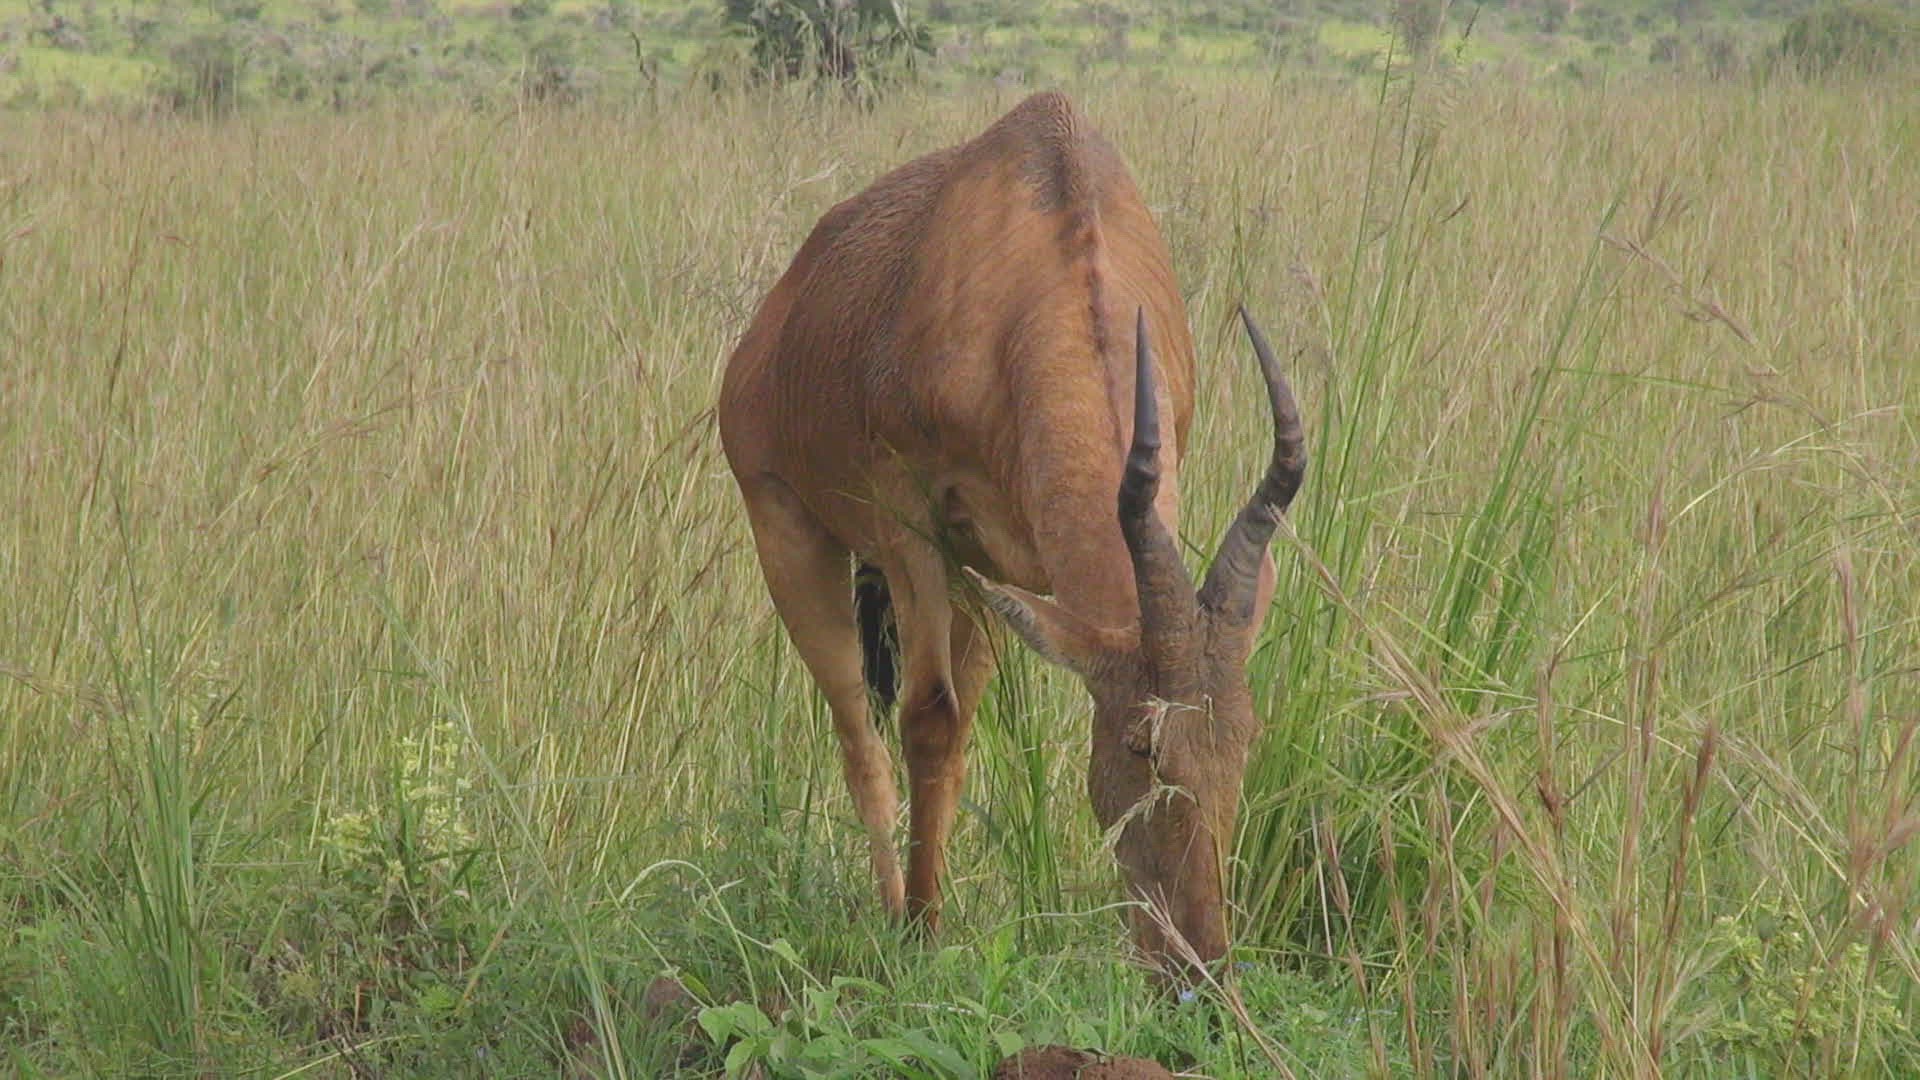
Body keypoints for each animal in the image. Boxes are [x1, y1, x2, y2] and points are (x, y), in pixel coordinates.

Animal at [718, 92, 1305, 969]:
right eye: (1141, 744)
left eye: (1245, 736)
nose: (1197, 964)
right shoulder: (911, 521)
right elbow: (928, 717)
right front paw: (920, 935)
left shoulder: (1014, 567)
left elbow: (957, 724)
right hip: (788, 529)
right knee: (861, 735)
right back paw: (891, 908)